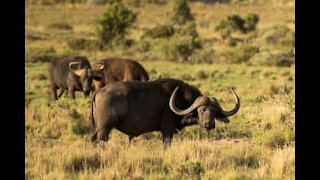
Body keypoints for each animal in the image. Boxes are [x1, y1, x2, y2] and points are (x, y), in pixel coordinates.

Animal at [90, 77, 240, 146]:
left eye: (214, 111)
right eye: (201, 109)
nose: (210, 124)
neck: (180, 99)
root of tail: (99, 90)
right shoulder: (167, 131)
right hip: (104, 127)